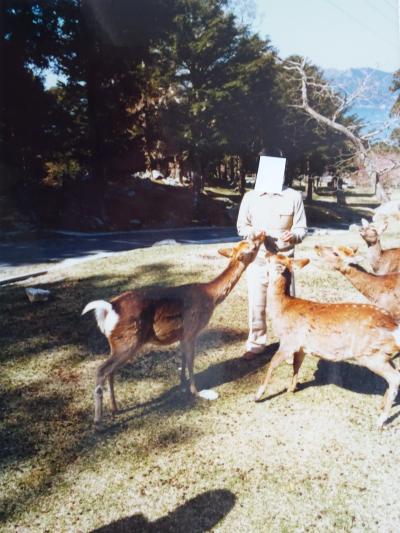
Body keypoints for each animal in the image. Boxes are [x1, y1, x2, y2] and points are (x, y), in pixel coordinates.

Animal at [82, 233, 266, 424]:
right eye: (252, 246)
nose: (262, 234)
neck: (211, 296)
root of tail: (109, 308)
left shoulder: (182, 334)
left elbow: (183, 358)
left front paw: (182, 382)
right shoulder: (192, 330)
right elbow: (191, 361)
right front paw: (196, 391)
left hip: (118, 343)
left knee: (110, 371)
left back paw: (114, 409)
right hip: (127, 341)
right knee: (101, 370)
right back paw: (98, 419)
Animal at [253, 252, 400, 428]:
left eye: (272, 258)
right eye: (277, 255)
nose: (267, 253)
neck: (282, 310)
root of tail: (395, 327)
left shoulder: (289, 341)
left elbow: (272, 363)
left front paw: (258, 396)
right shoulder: (302, 347)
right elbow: (296, 366)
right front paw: (291, 388)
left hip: (371, 355)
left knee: (395, 378)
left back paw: (380, 420)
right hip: (383, 354)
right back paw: (381, 406)